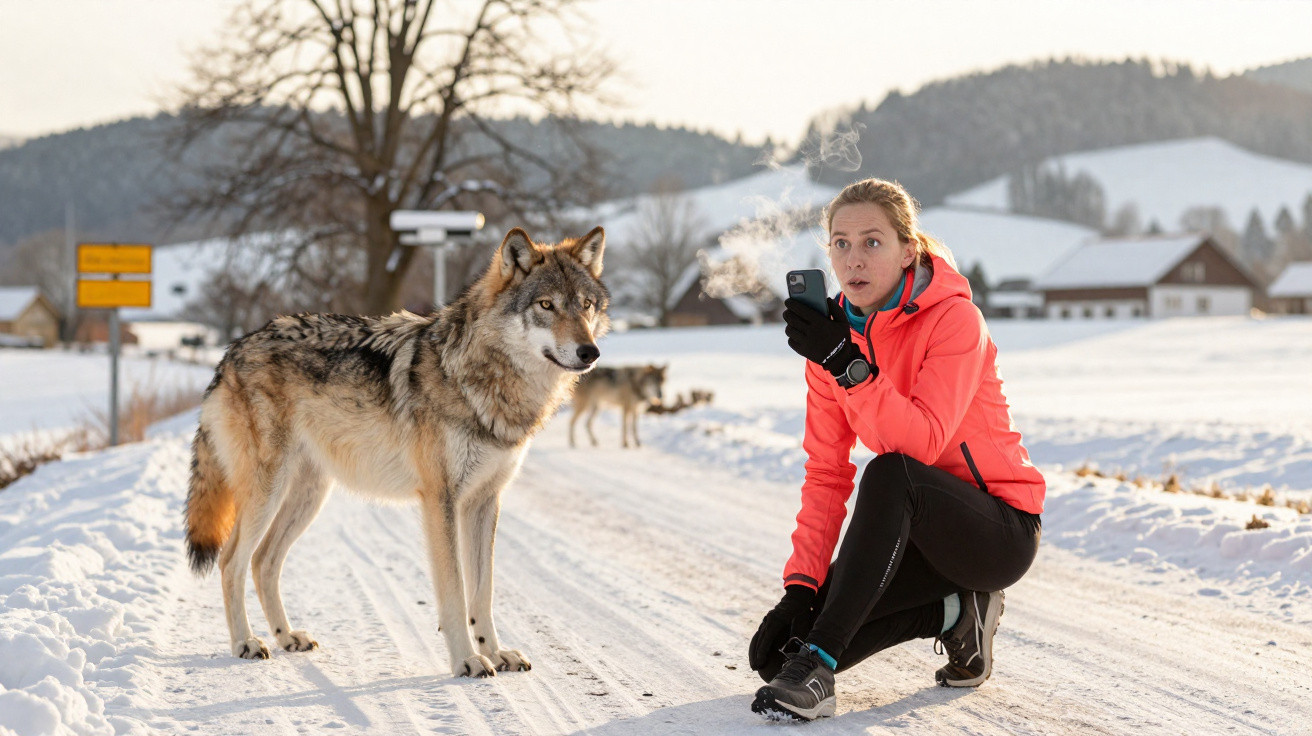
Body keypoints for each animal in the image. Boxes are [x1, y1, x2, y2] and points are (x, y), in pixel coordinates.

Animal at [184, 226, 609, 677]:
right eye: (546, 305)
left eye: (585, 306)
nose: (590, 352)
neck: (482, 379)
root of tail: (231, 352)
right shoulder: (440, 500)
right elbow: (455, 591)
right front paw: (467, 660)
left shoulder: (485, 501)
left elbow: (483, 591)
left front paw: (495, 653)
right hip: (267, 491)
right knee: (231, 561)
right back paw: (245, 643)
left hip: (309, 496)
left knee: (264, 561)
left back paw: (287, 637)